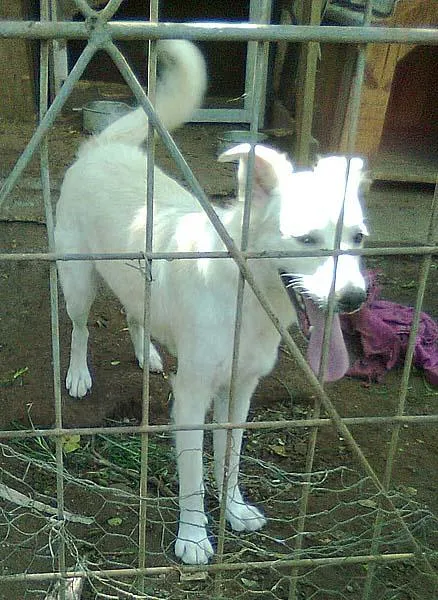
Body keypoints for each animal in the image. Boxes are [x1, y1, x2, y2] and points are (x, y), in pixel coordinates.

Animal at [55, 37, 370, 564]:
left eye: (358, 238)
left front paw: (235, 509)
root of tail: (102, 148)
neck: (244, 299)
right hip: (77, 281)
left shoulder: (240, 393)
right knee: (79, 328)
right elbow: (192, 480)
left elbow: (231, 459)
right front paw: (194, 537)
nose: (354, 299)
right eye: (305, 239)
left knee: (136, 314)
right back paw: (78, 374)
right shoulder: (191, 397)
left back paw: (146, 353)